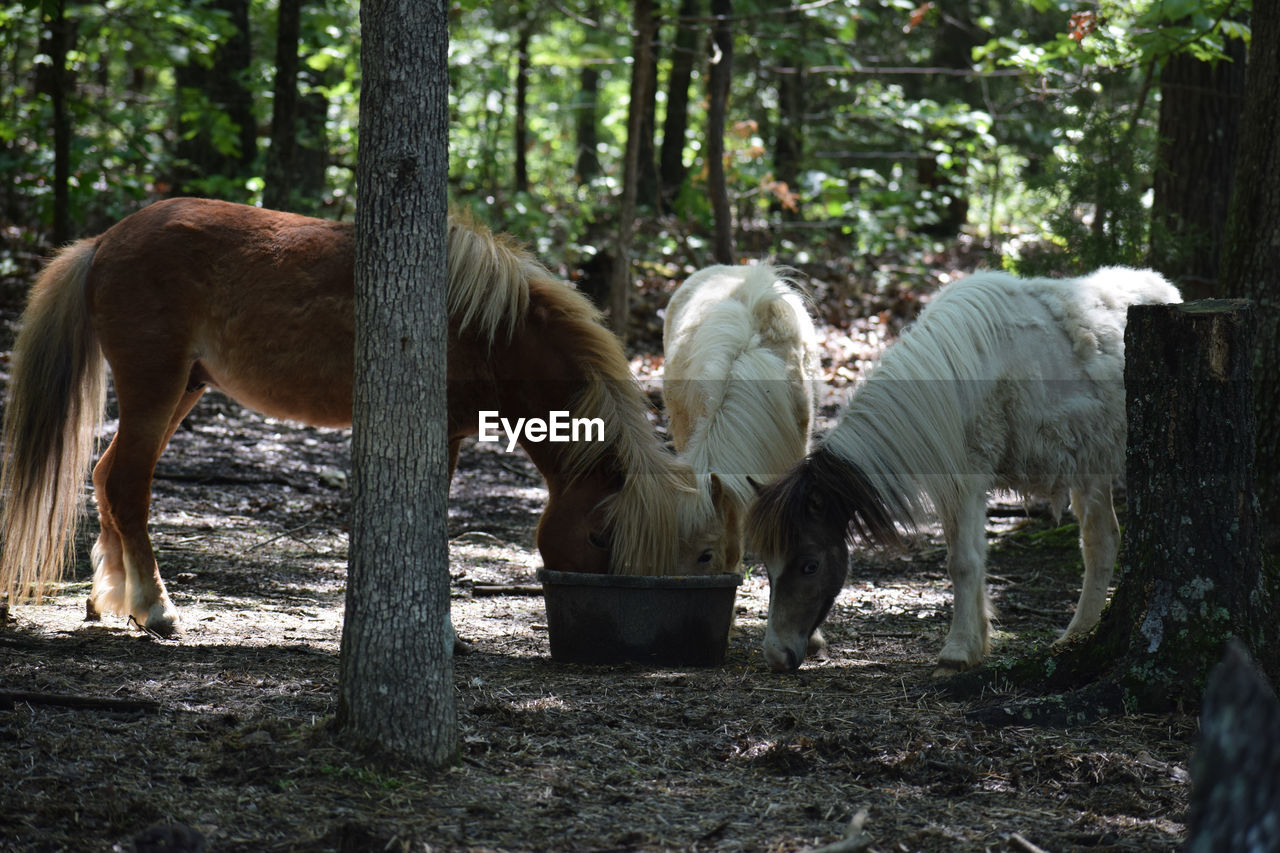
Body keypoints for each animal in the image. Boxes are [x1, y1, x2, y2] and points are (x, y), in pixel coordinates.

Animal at [0, 199, 737, 635]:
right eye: (700, 553)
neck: (492, 329)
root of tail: (105, 239)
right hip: (155, 387)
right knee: (126, 483)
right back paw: (155, 609)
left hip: (183, 389)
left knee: (106, 476)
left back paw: (109, 599)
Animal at [747, 266, 1177, 671]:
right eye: (767, 565)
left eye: (810, 565)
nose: (776, 655)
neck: (949, 384)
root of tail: (1166, 290)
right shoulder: (951, 486)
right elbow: (964, 558)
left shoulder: (969, 479)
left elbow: (964, 563)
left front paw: (956, 653)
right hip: (1090, 465)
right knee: (1101, 541)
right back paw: (1078, 635)